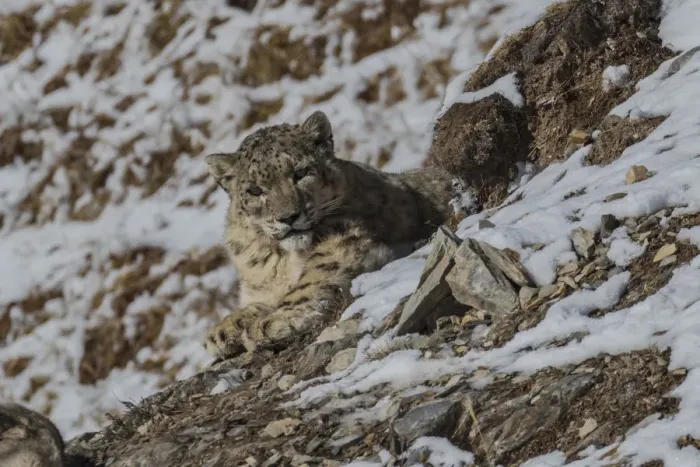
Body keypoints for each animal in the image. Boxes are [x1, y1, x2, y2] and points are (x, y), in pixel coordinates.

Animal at [203, 111, 462, 359]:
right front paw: (225, 329)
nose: (288, 217)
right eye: (255, 190)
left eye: (300, 172)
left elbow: (313, 279)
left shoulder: (345, 248)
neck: (284, 259)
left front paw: (269, 323)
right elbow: (258, 302)